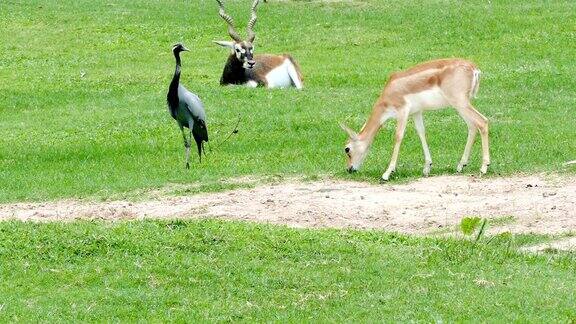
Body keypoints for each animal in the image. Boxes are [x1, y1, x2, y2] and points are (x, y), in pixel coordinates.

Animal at [342, 58, 490, 182]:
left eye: (347, 149)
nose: (349, 169)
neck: (390, 91)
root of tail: (473, 68)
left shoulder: (403, 111)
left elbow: (398, 136)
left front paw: (387, 173)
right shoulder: (416, 112)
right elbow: (421, 132)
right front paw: (427, 167)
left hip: (460, 103)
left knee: (482, 121)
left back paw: (484, 167)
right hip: (460, 105)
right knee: (472, 126)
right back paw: (461, 165)